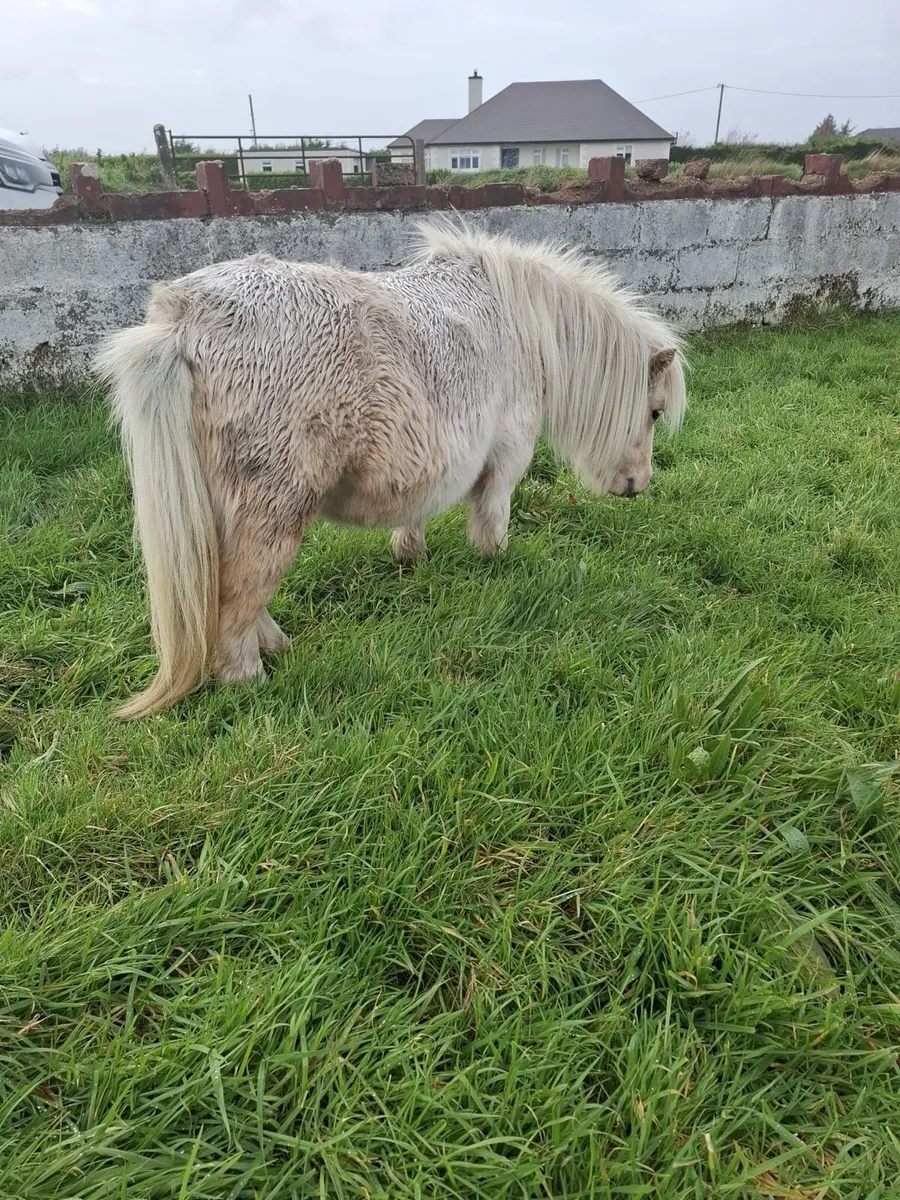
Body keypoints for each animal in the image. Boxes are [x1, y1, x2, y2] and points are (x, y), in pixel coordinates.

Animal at [97, 220, 687, 719]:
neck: (521, 322)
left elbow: (415, 514)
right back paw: (253, 679)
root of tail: (182, 318)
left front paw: (412, 558)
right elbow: (492, 521)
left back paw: (278, 645)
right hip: (272, 510)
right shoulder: (505, 458)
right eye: (655, 411)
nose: (637, 486)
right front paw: (495, 568)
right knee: (237, 599)